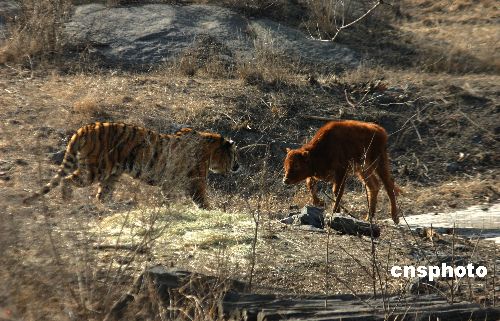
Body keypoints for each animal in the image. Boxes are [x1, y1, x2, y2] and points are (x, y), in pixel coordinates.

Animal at [23, 120, 240, 208]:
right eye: (235, 155)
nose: (238, 167)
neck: (210, 148)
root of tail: (85, 128)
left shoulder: (169, 183)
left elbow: (169, 198)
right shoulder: (196, 181)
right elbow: (201, 200)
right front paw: (211, 211)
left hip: (112, 174)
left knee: (101, 195)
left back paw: (114, 207)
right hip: (94, 170)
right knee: (67, 180)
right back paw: (67, 200)